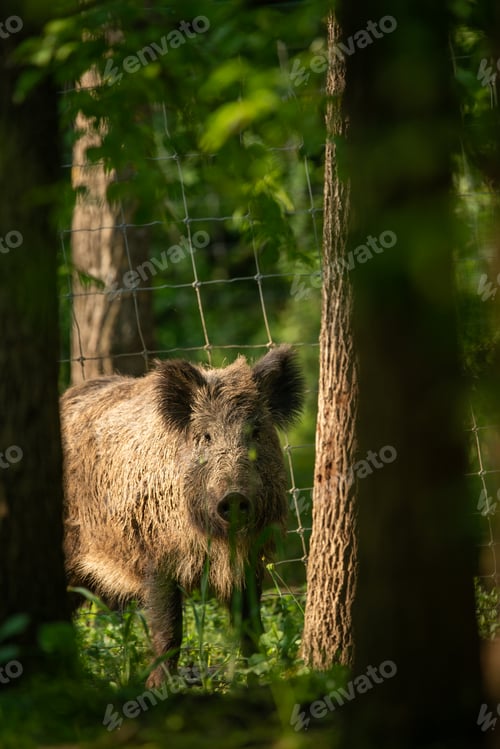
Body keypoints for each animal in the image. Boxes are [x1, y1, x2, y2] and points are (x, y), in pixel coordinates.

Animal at [60, 345, 304, 686]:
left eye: (256, 432)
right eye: (206, 436)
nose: (234, 496)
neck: (216, 540)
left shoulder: (250, 560)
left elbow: (250, 627)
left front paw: (254, 678)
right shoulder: (158, 557)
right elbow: (169, 633)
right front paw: (158, 688)